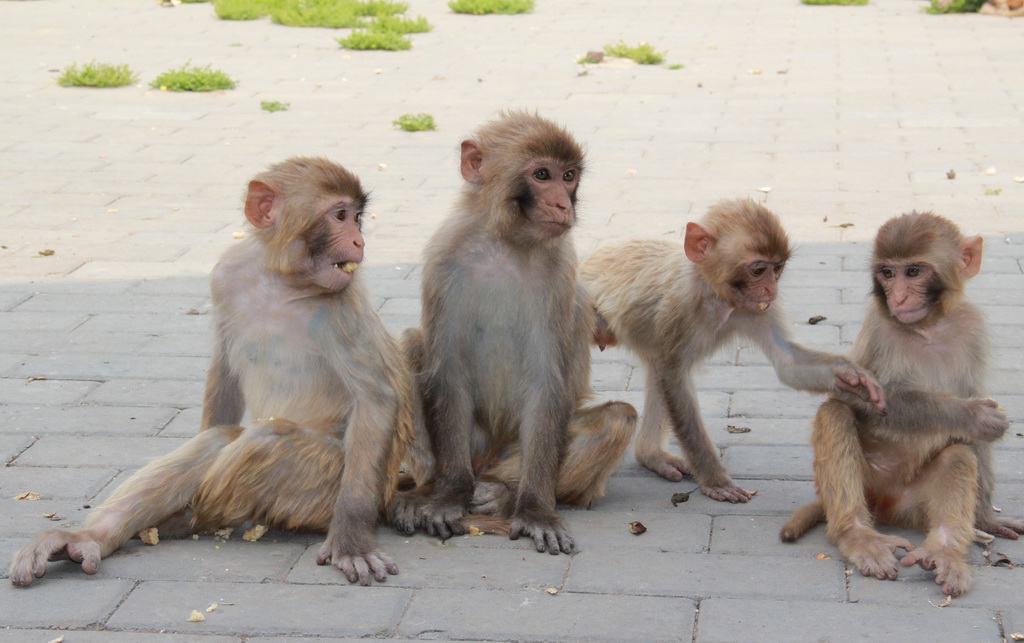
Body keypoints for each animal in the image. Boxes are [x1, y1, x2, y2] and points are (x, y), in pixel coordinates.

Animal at [9, 156, 413, 589]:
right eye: (340, 216)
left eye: (357, 218)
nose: (359, 242)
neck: (280, 280)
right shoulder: (227, 274)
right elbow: (225, 371)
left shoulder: (342, 304)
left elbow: (375, 398)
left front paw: (352, 538)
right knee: (218, 439)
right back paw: (94, 537)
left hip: (327, 487)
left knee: (266, 440)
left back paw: (192, 518)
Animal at [387, 110, 634, 552]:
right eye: (541, 174)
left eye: (568, 176)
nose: (563, 203)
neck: (505, 242)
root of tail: (486, 463)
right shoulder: (444, 259)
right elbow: (446, 370)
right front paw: (449, 496)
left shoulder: (559, 273)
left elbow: (547, 382)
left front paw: (534, 509)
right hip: (474, 445)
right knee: (413, 343)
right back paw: (428, 490)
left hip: (510, 454)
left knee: (617, 418)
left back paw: (502, 494)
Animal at [581, 199, 884, 501]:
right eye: (758, 270)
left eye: (777, 268)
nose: (771, 289)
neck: (714, 294)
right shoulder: (678, 307)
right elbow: (674, 377)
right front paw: (715, 480)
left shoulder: (758, 309)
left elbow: (787, 362)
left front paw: (852, 377)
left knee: (655, 365)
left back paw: (651, 455)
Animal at [778, 211, 1019, 597]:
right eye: (888, 273)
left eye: (914, 272)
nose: (899, 296)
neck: (929, 328)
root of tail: (886, 507)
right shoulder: (878, 327)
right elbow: (851, 398)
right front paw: (972, 415)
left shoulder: (972, 328)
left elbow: (973, 430)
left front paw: (987, 518)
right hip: (869, 486)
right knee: (835, 414)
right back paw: (858, 536)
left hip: (914, 504)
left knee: (957, 455)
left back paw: (944, 552)